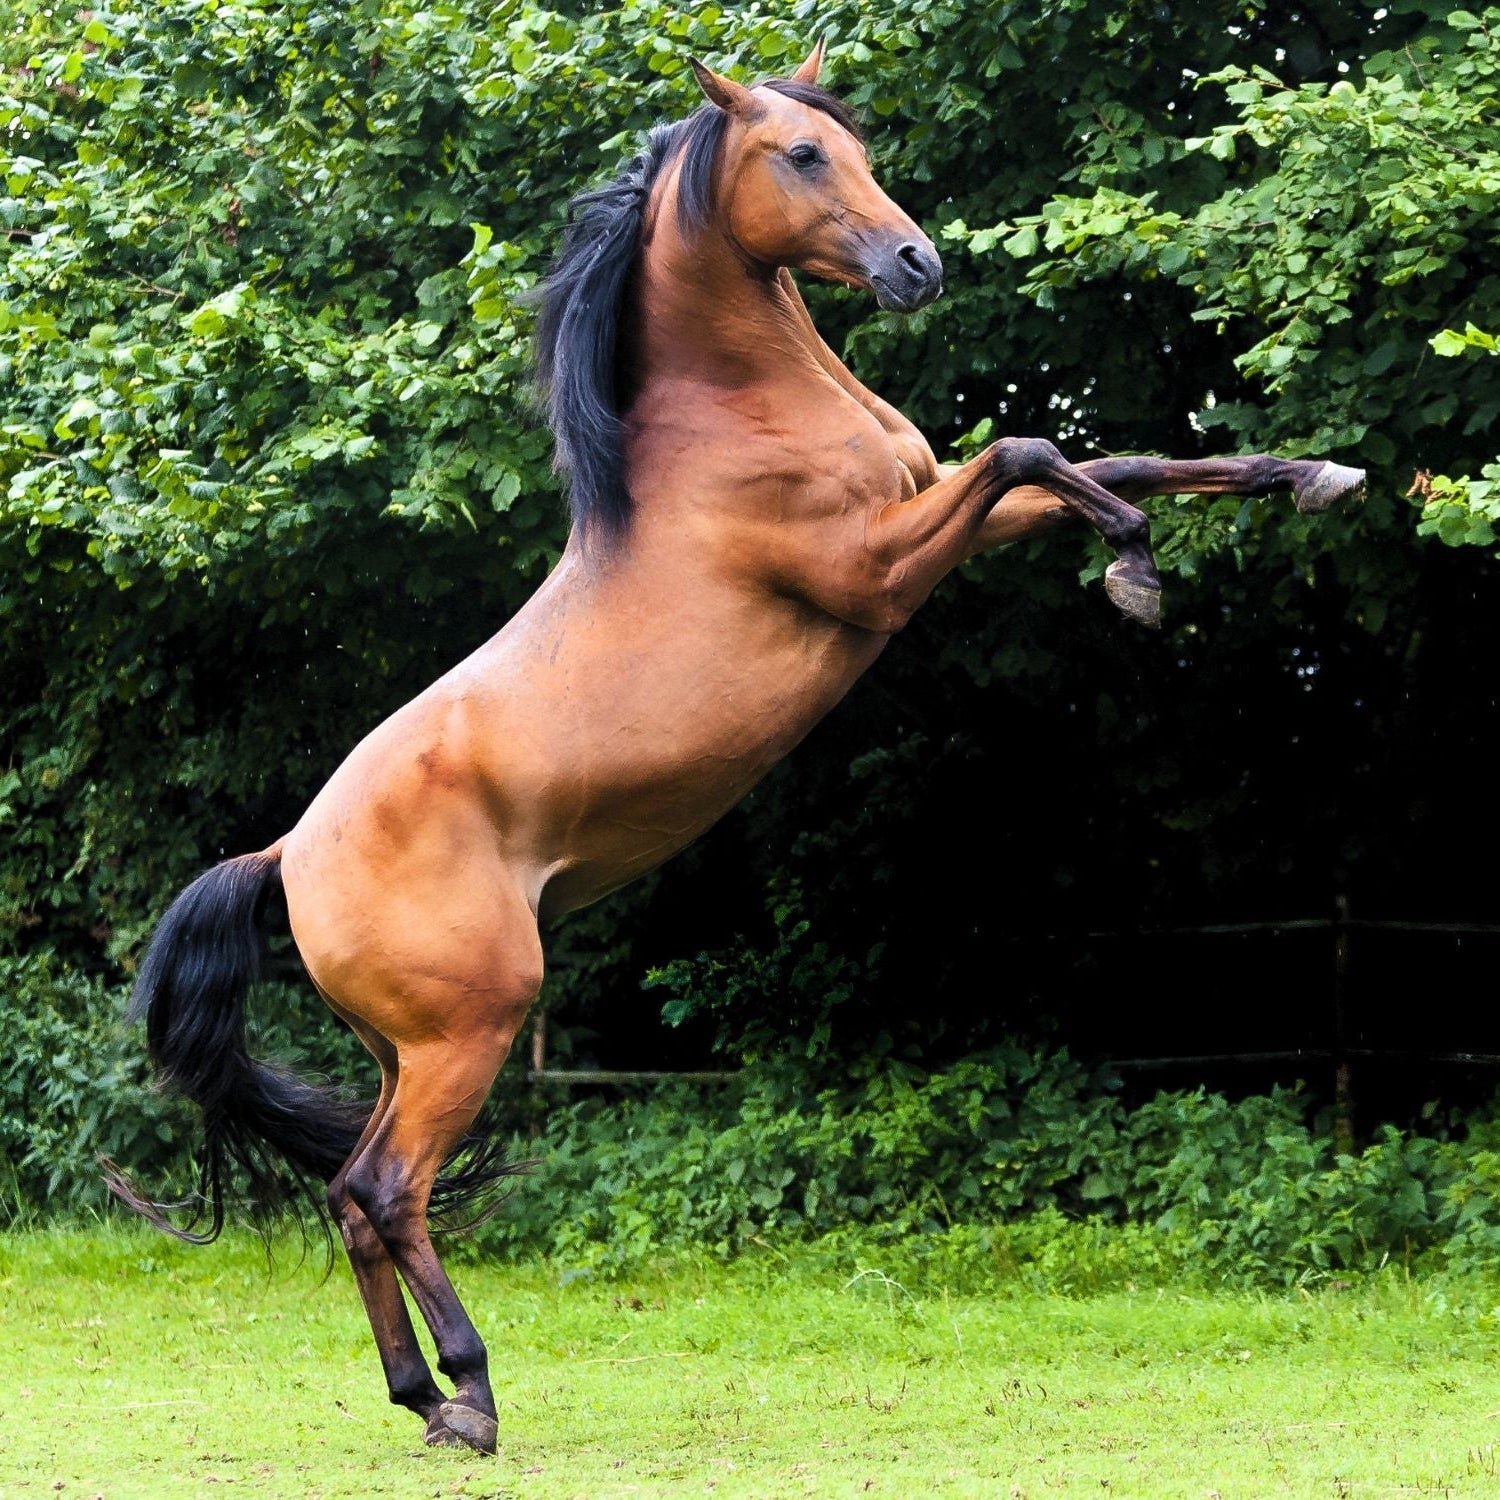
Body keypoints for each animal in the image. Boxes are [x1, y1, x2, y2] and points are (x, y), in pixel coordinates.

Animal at [109, 43, 1366, 1455]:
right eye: (802, 156)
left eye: (856, 147)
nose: (918, 264)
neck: (735, 422)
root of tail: (283, 856)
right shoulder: (879, 575)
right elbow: (1032, 447)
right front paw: (1136, 576)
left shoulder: (941, 520)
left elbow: (1120, 458)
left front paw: (1311, 475)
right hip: (470, 1030)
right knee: (385, 1189)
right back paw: (472, 1394)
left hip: (406, 1049)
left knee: (352, 1197)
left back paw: (422, 1399)